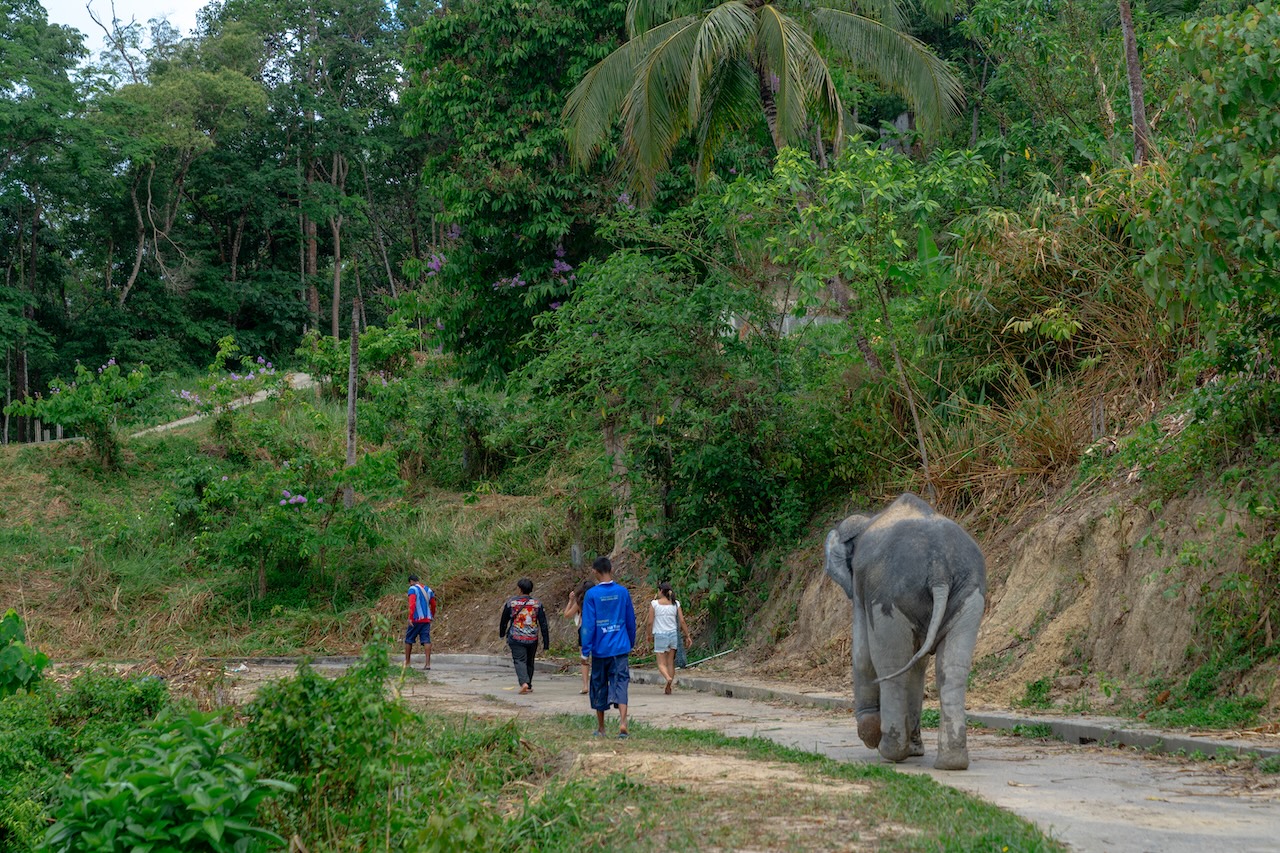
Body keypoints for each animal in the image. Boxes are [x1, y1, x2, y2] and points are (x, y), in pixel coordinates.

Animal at [823, 492, 986, 770]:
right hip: (970, 594)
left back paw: (890, 752)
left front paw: (870, 736)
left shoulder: (861, 587)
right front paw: (916, 750)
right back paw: (951, 763)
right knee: (952, 668)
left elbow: (863, 654)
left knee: (891, 664)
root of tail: (939, 568)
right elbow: (918, 665)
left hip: (889, 597)